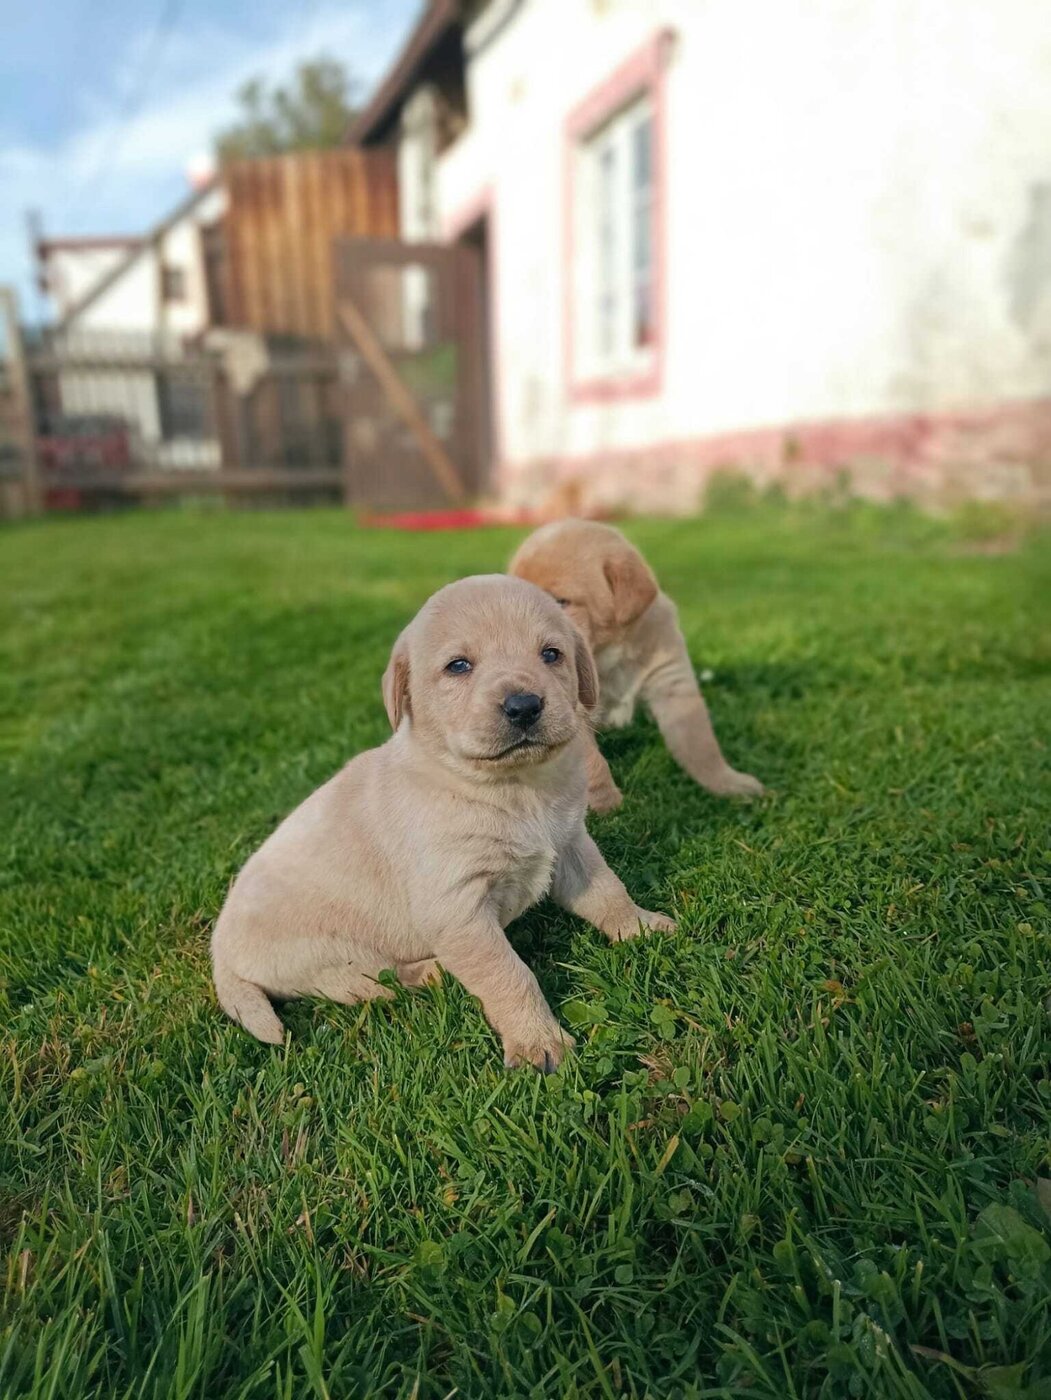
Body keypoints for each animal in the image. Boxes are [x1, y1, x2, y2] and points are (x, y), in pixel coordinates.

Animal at [211, 575, 675, 1069]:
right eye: (458, 666)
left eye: (551, 654)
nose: (524, 705)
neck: (512, 788)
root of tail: (219, 952)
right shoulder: (458, 909)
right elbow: (509, 974)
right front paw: (538, 1042)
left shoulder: (570, 843)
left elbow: (609, 892)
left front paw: (641, 927)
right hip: (327, 953)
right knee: (370, 983)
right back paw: (432, 972)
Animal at [509, 520, 763, 812]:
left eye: (560, 601)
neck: (609, 656)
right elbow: (592, 762)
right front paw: (608, 806)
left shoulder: (672, 683)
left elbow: (701, 744)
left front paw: (729, 784)